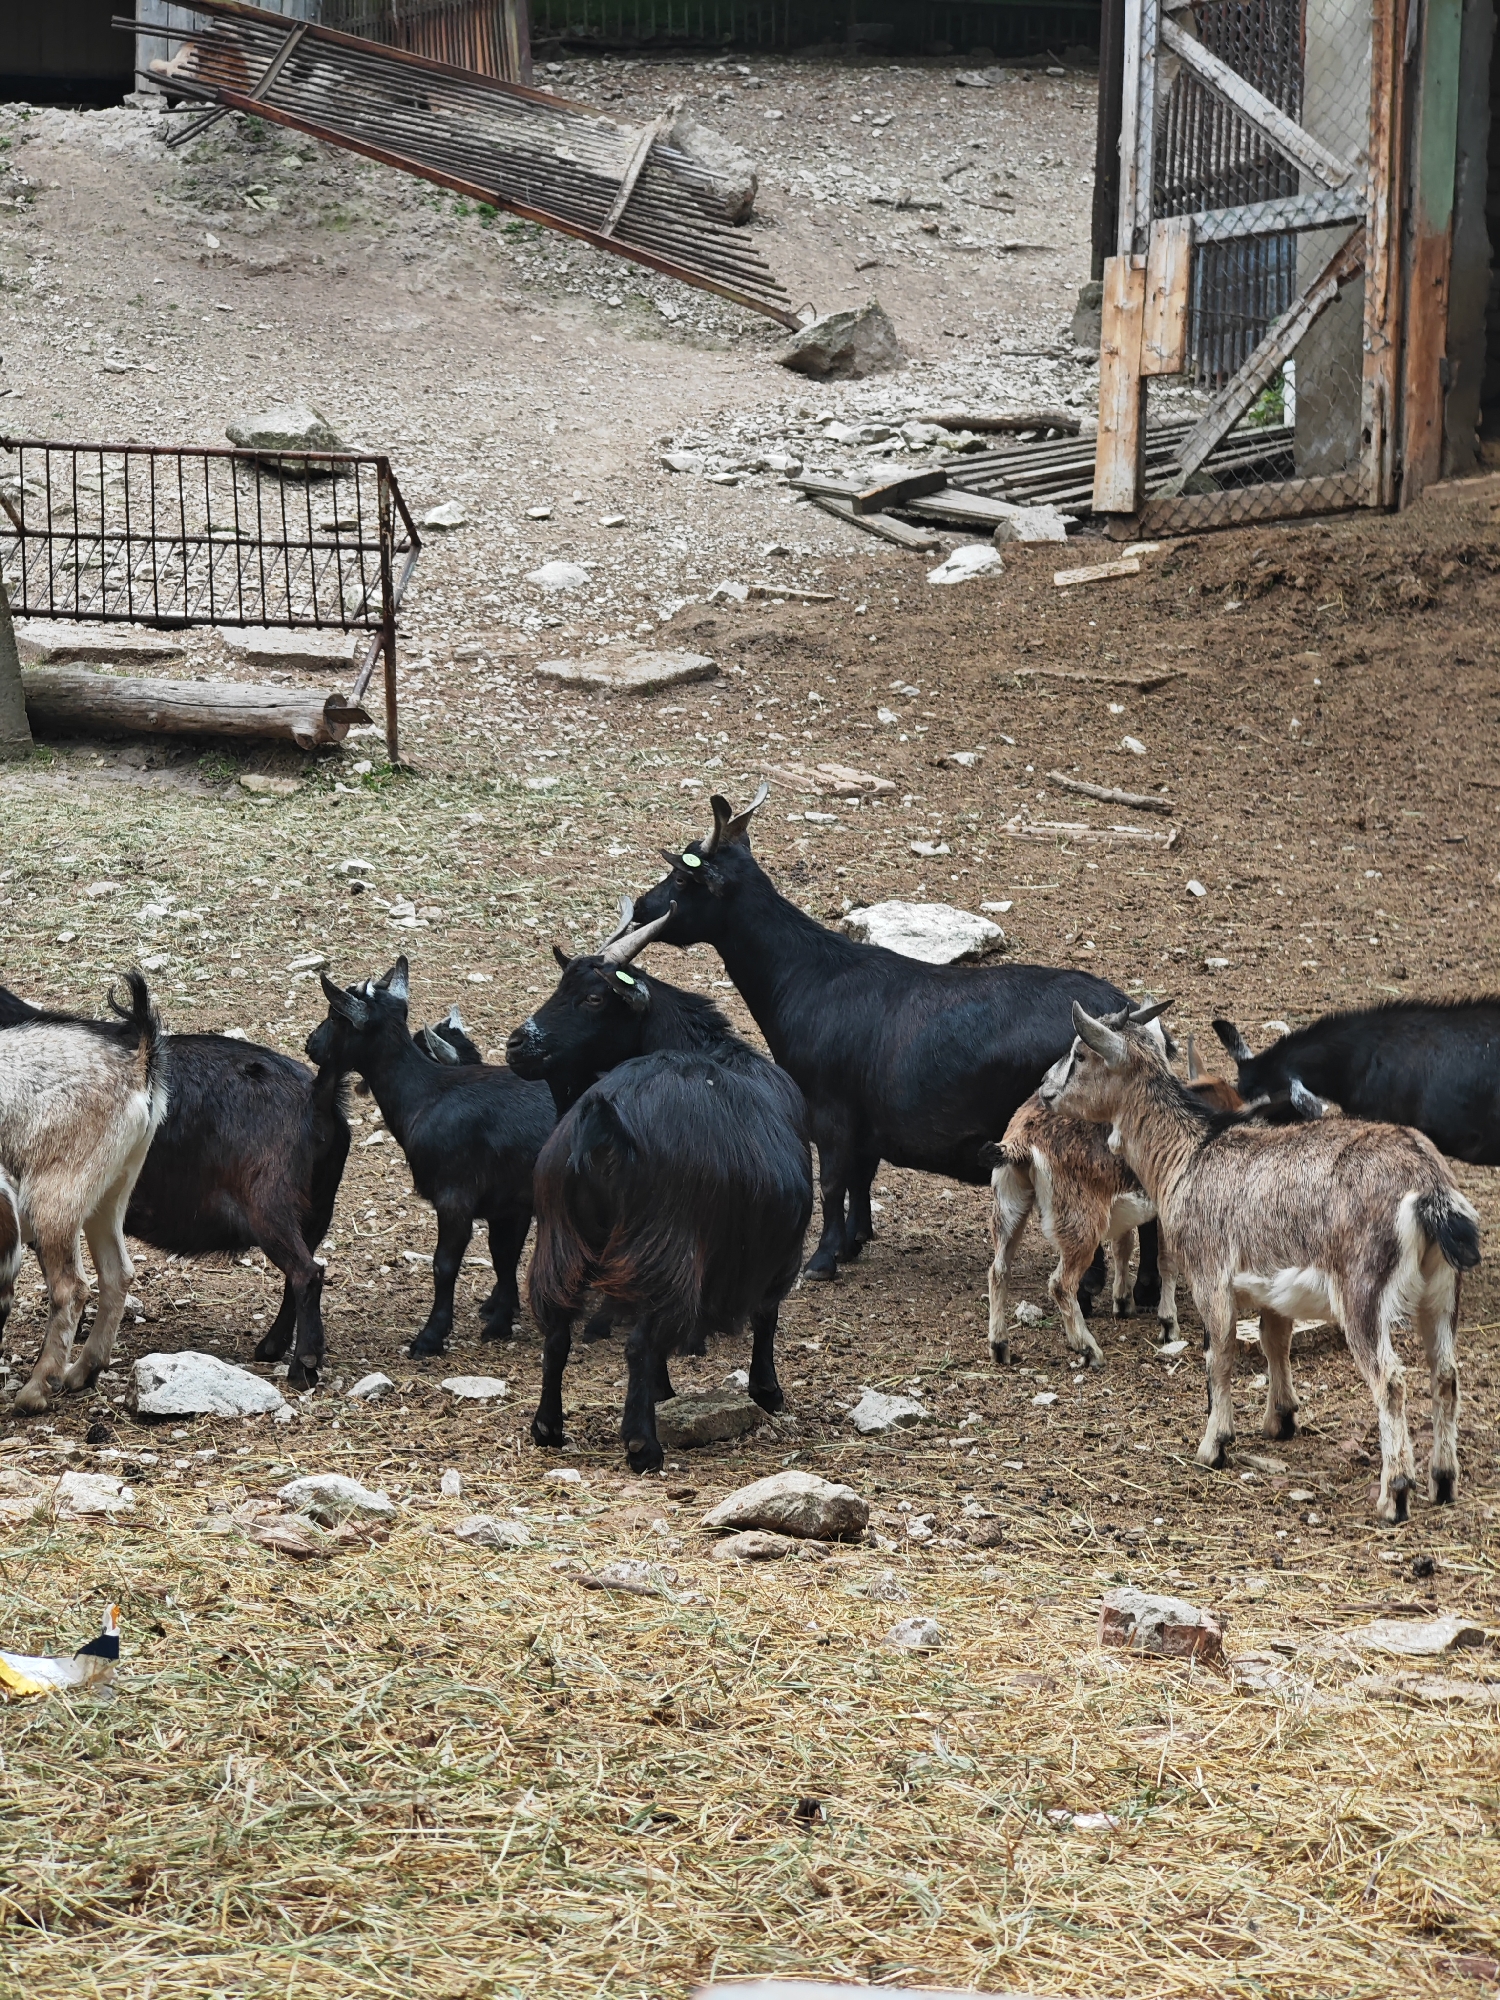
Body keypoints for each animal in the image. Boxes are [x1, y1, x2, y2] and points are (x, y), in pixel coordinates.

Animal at [0, 973, 168, 1413]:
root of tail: (136, 1066)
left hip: (54, 1195)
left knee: (71, 1288)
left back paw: (38, 1388)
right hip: (110, 1191)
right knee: (117, 1273)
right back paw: (83, 1371)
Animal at [306, 960, 554, 1355]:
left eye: (335, 1015)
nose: (311, 1045)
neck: (426, 1094)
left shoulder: (455, 1195)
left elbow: (444, 1265)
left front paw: (431, 1336)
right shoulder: (508, 1204)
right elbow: (503, 1256)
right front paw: (500, 1320)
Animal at [507, 905, 813, 1473]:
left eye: (593, 997)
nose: (517, 1045)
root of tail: (603, 1123)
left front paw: (665, 1393)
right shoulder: (778, 1253)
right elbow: (766, 1315)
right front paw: (767, 1392)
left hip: (562, 1239)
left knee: (557, 1331)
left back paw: (548, 1427)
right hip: (664, 1241)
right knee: (640, 1341)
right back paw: (641, 1444)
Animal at [628, 785, 1161, 1305]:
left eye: (682, 879)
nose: (639, 909)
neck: (809, 978)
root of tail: (1127, 1017)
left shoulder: (830, 1107)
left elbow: (833, 1180)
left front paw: (822, 1260)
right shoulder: (866, 1115)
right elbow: (861, 1174)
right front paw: (853, 1241)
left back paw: (1101, 1285)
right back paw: (1145, 1288)